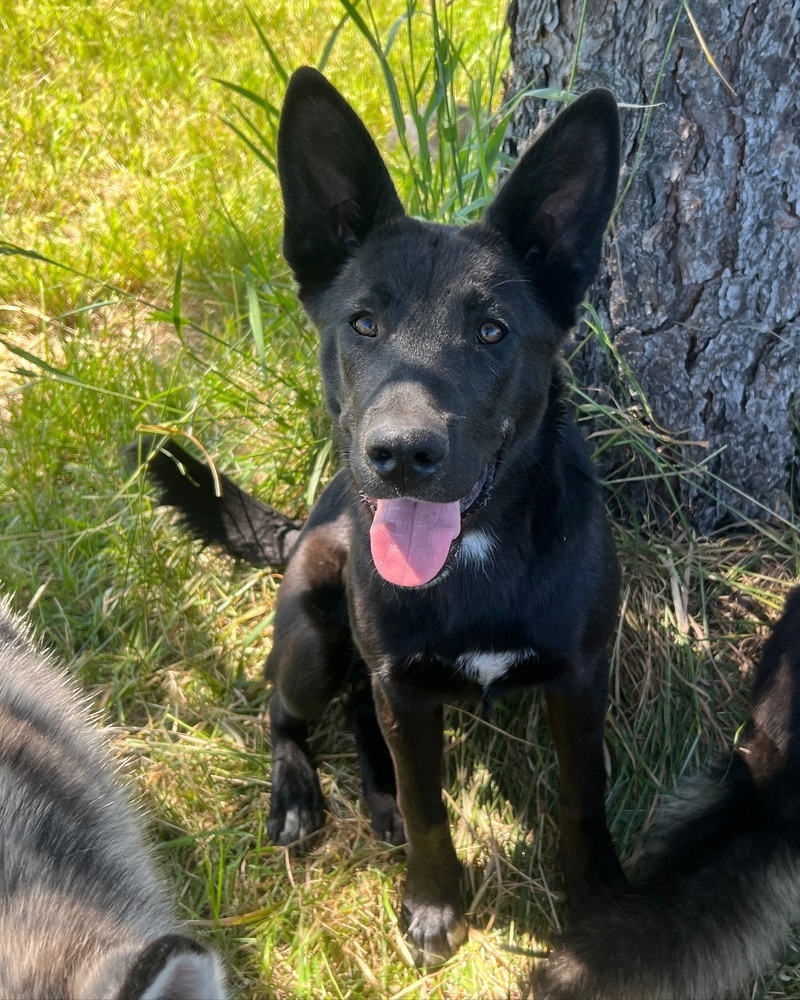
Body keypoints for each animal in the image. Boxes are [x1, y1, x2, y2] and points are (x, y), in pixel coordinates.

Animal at [138, 68, 624, 960]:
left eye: (492, 331)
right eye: (363, 322)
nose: (400, 453)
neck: (477, 554)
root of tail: (300, 524)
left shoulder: (579, 677)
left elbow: (583, 796)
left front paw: (603, 902)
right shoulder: (405, 684)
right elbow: (433, 811)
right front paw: (433, 904)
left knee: (364, 718)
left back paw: (377, 795)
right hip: (312, 632)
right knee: (285, 707)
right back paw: (300, 794)